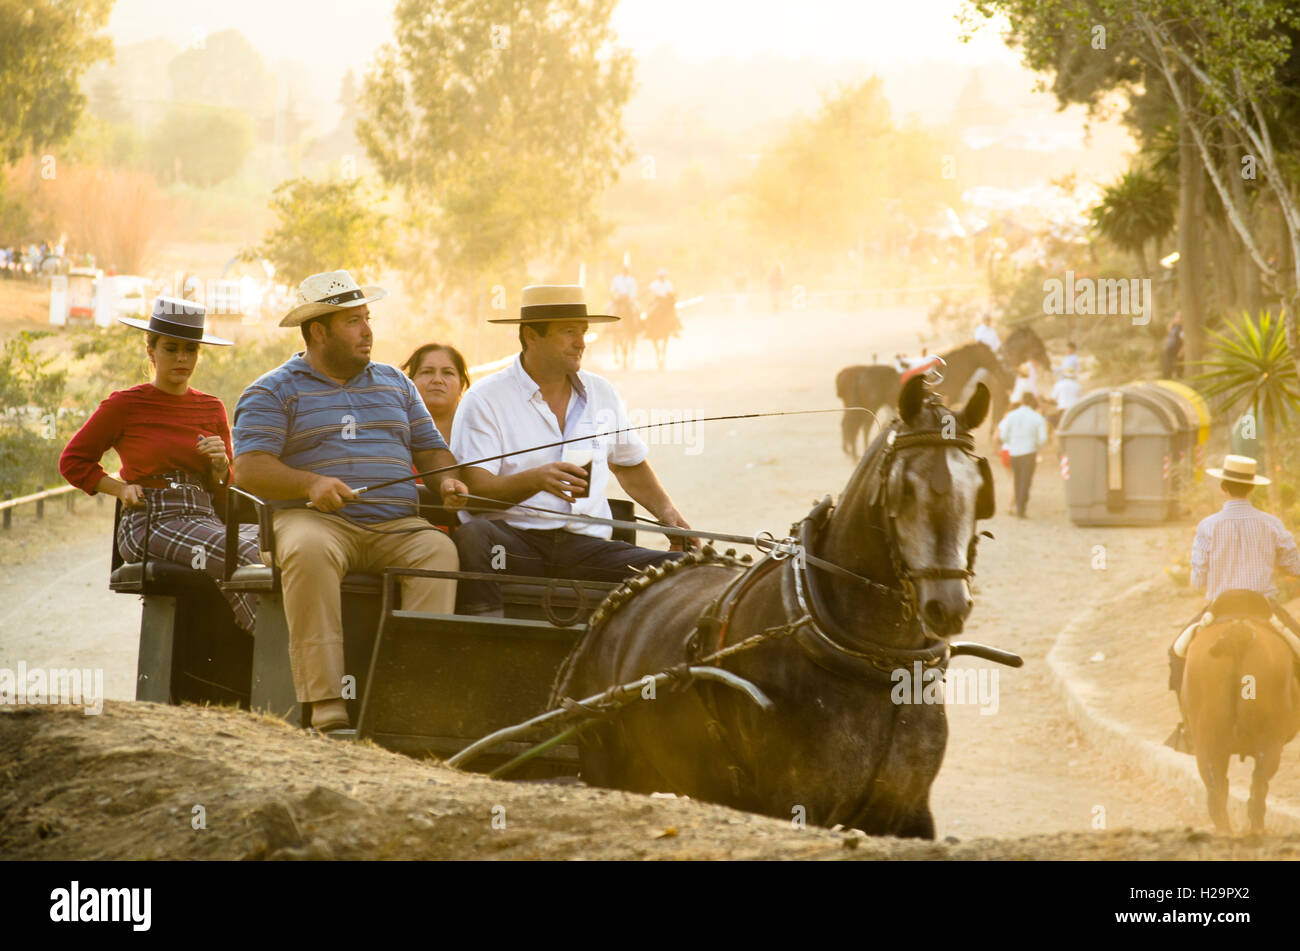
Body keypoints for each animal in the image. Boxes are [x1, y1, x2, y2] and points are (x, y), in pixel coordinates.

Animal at [548, 374, 1003, 836]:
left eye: (980, 490)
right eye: (905, 489)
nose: (948, 605)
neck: (875, 659)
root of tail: (618, 603)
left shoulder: (910, 812)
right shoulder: (794, 803)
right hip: (609, 768)